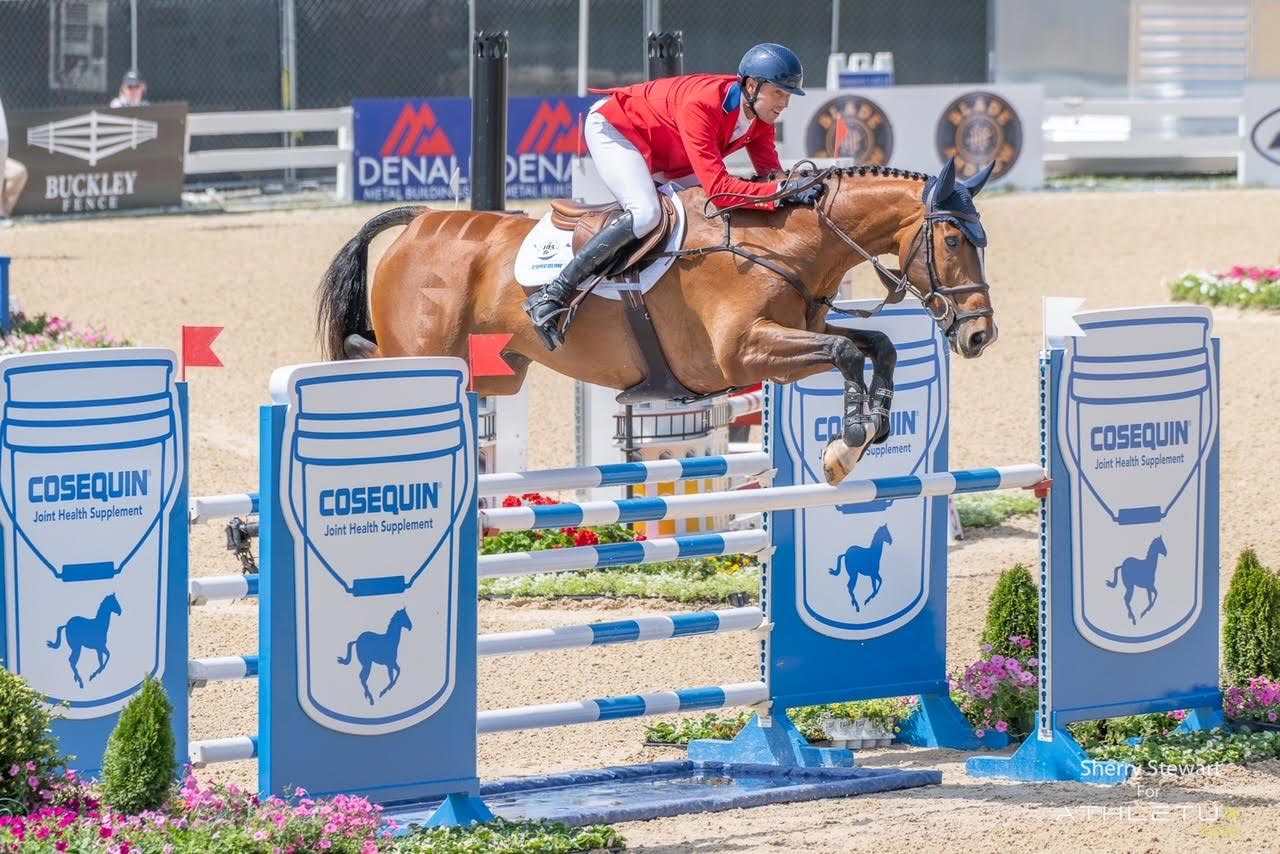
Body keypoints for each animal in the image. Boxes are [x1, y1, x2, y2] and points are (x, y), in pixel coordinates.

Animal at [314, 156, 993, 483]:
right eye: (953, 240)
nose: (979, 333)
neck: (788, 242)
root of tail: (424, 220)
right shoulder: (743, 352)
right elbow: (849, 352)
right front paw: (847, 444)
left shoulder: (796, 333)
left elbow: (878, 345)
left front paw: (869, 430)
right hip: (428, 352)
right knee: (369, 359)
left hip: (496, 369)